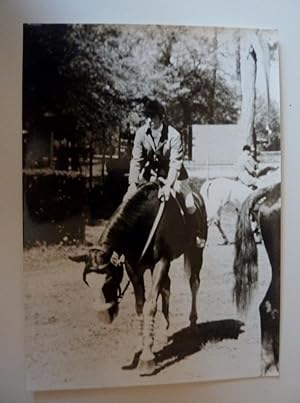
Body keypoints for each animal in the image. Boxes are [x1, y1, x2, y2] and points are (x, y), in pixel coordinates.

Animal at [69, 181, 207, 376]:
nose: (103, 316)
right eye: (87, 283)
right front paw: (142, 345)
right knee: (167, 287)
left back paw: (193, 325)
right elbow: (140, 306)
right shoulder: (133, 268)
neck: (142, 222)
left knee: (194, 283)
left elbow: (150, 306)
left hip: (195, 251)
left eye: (110, 279)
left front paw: (147, 359)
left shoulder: (161, 263)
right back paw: (165, 332)